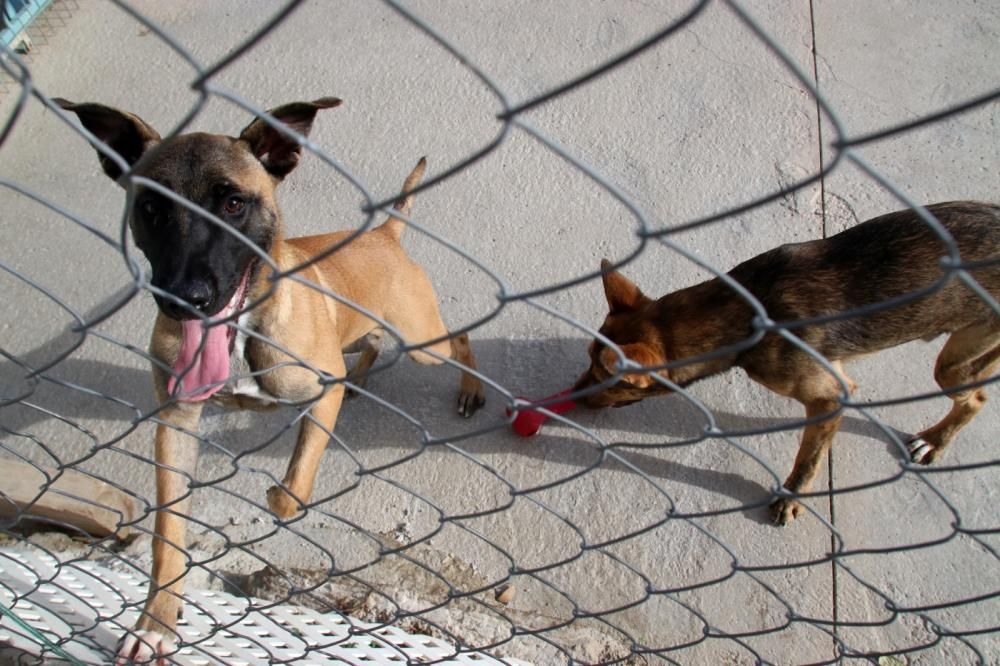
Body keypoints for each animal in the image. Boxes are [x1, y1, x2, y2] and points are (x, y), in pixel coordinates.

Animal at [56, 98, 486, 664]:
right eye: (150, 208)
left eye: (234, 203)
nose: (183, 299)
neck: (241, 332)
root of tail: (384, 235)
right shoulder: (176, 423)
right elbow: (167, 533)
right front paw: (155, 625)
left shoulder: (318, 393)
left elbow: (293, 490)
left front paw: (278, 494)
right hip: (363, 332)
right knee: (369, 346)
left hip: (423, 343)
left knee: (458, 338)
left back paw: (470, 389)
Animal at [576, 200, 1000, 520]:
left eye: (611, 379)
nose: (573, 397)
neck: (745, 310)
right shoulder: (836, 376)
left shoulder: (828, 397)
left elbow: (808, 458)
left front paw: (792, 496)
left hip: (956, 361)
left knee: (976, 398)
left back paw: (935, 440)